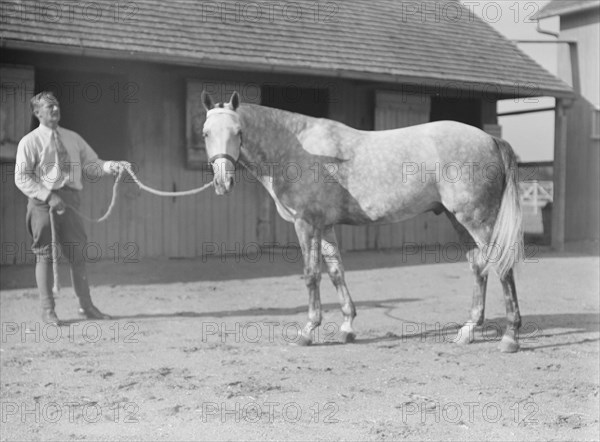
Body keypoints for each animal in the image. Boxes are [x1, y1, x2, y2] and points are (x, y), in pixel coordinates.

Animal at [200, 90, 520, 352]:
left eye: (238, 131)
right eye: (205, 133)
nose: (222, 182)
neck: (298, 149)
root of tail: (490, 139)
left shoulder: (306, 224)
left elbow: (311, 275)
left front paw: (307, 331)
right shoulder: (325, 226)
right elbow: (336, 272)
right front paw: (347, 327)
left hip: (478, 220)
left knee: (501, 266)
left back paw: (510, 337)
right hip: (459, 219)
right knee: (478, 267)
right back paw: (468, 331)